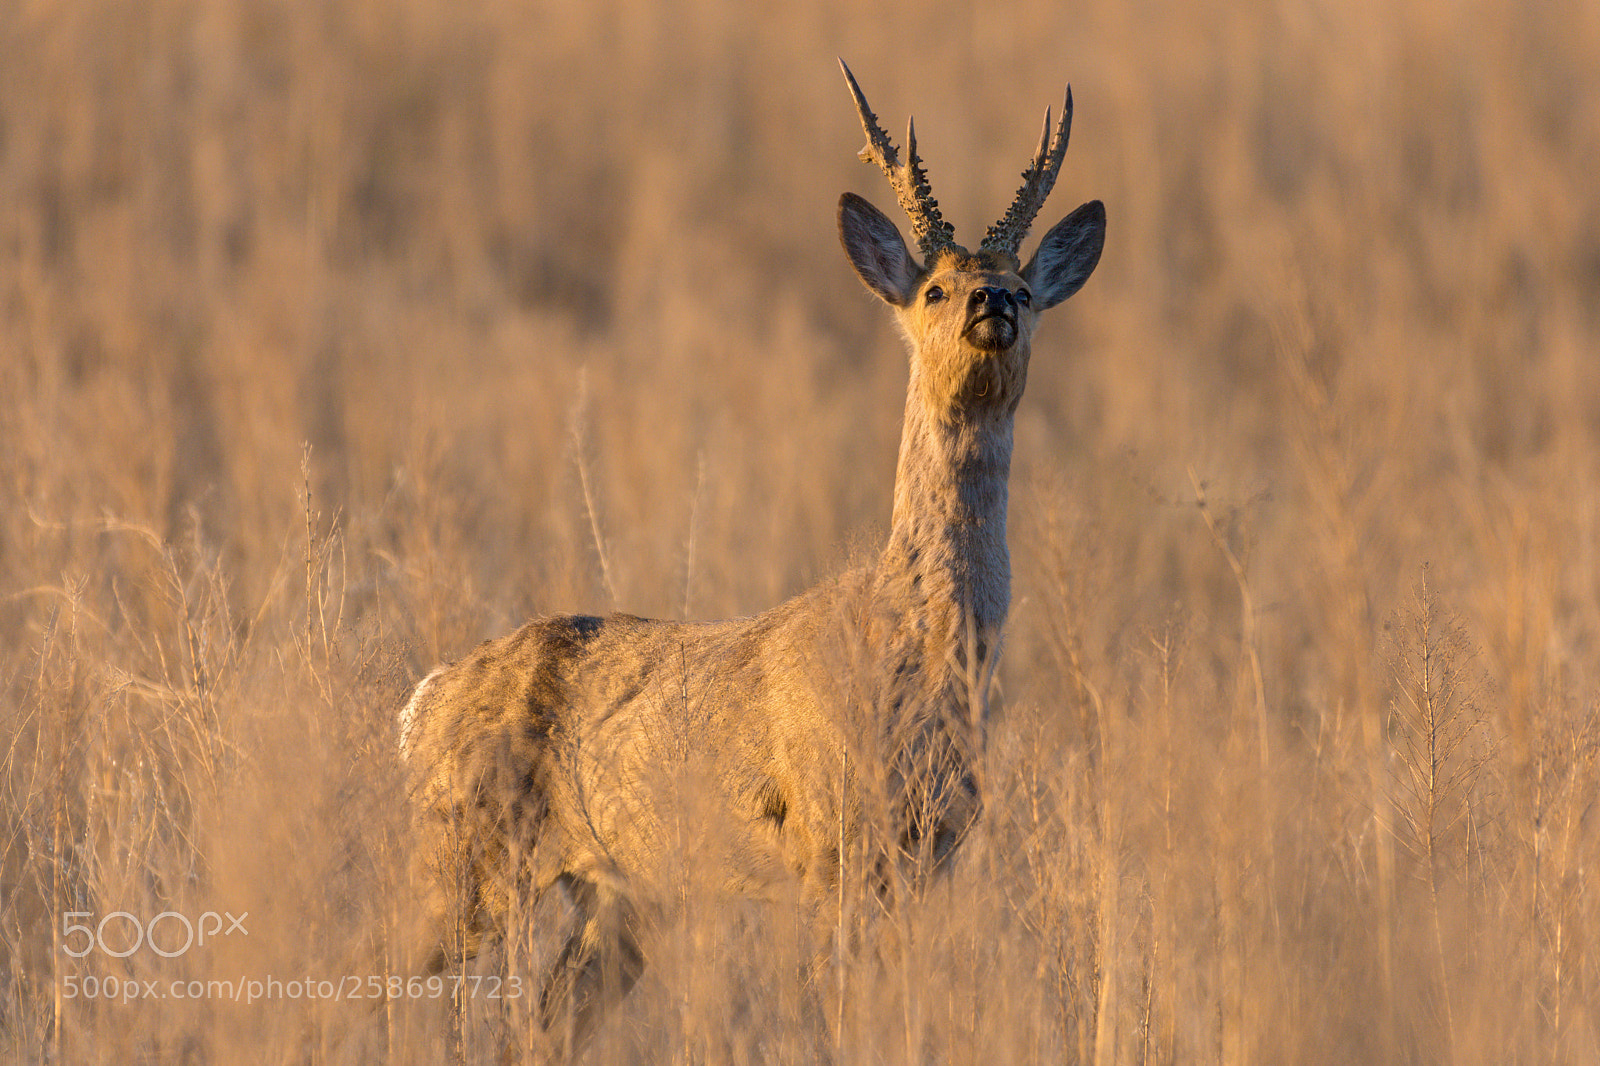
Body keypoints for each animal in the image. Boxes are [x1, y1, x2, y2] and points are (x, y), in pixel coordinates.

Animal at [398, 60, 1104, 1055]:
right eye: (932, 290)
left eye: (1028, 290)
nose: (992, 303)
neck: (922, 650)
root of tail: (422, 703)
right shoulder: (827, 841)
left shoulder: (928, 853)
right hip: (463, 849)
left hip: (619, 894)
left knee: (540, 1021)